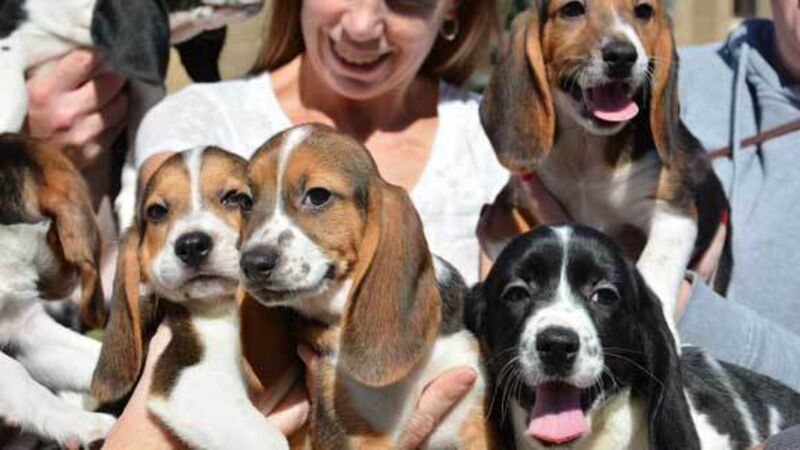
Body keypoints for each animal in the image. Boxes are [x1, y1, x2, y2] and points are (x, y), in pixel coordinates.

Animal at [90, 147, 289, 450]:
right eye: (157, 212)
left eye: (237, 199)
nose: (192, 245)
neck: (220, 308)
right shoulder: (188, 380)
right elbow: (272, 439)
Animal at [478, 0, 731, 338]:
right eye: (572, 10)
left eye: (644, 10)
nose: (623, 55)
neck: (588, 152)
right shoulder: (506, 209)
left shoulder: (675, 212)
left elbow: (655, 264)